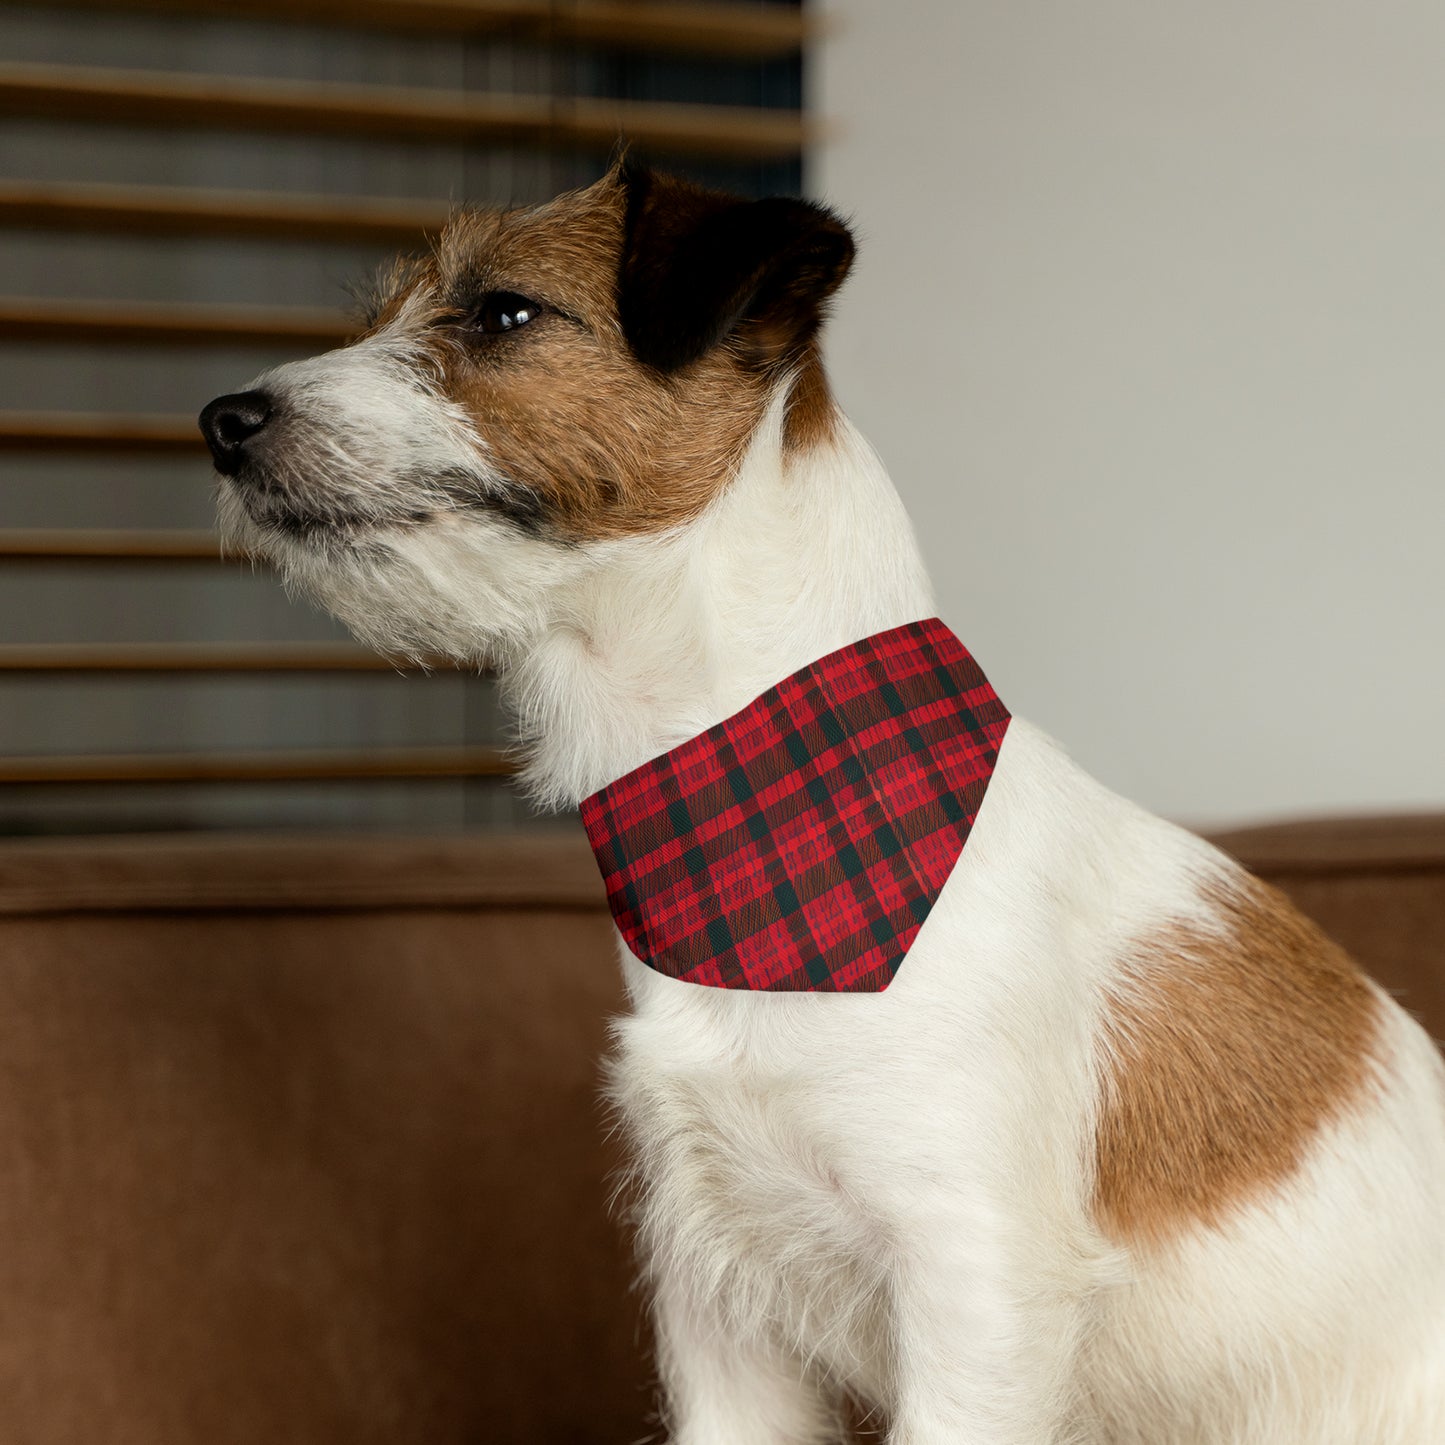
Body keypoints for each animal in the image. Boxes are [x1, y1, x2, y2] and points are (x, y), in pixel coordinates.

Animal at [200, 164, 1445, 1439]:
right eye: (380, 314)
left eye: (503, 312)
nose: (222, 421)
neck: (759, 822)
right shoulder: (716, 1304)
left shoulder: (972, 1290)